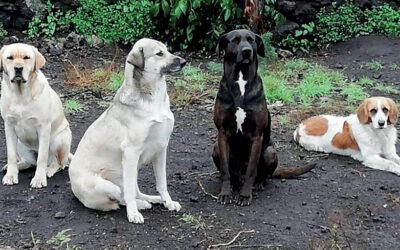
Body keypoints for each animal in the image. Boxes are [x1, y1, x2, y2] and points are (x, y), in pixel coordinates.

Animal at [0, 43, 72, 188]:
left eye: (26, 57)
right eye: (9, 58)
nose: (18, 68)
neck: (20, 94)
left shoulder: (43, 128)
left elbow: (42, 158)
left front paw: (39, 179)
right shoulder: (9, 126)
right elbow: (11, 155)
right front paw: (10, 175)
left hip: (59, 139)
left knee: (59, 163)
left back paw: (49, 170)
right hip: (20, 143)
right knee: (29, 162)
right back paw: (14, 167)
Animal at [68, 38, 186, 225]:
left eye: (167, 50)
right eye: (159, 53)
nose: (184, 62)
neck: (152, 98)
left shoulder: (161, 149)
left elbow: (162, 183)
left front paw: (167, 202)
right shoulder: (131, 152)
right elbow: (129, 193)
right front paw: (133, 213)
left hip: (131, 170)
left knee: (134, 191)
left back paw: (151, 199)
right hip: (110, 183)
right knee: (121, 197)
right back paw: (139, 205)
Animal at [214, 28, 314, 205]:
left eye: (251, 40)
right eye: (235, 40)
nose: (247, 51)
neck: (241, 81)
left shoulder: (257, 136)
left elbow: (251, 170)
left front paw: (245, 195)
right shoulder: (222, 133)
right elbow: (225, 170)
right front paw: (225, 193)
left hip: (270, 151)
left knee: (263, 175)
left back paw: (258, 183)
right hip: (215, 148)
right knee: (232, 175)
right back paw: (233, 184)